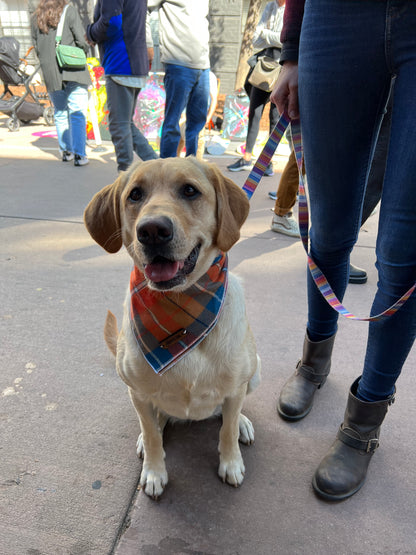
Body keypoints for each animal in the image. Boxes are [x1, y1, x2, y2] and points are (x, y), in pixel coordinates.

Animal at [84, 157, 260, 500]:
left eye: (190, 190)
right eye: (135, 195)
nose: (152, 230)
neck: (181, 308)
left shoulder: (234, 389)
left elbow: (227, 429)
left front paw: (231, 462)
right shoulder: (138, 393)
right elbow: (153, 434)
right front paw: (154, 471)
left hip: (255, 369)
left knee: (233, 413)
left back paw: (243, 422)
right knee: (155, 421)